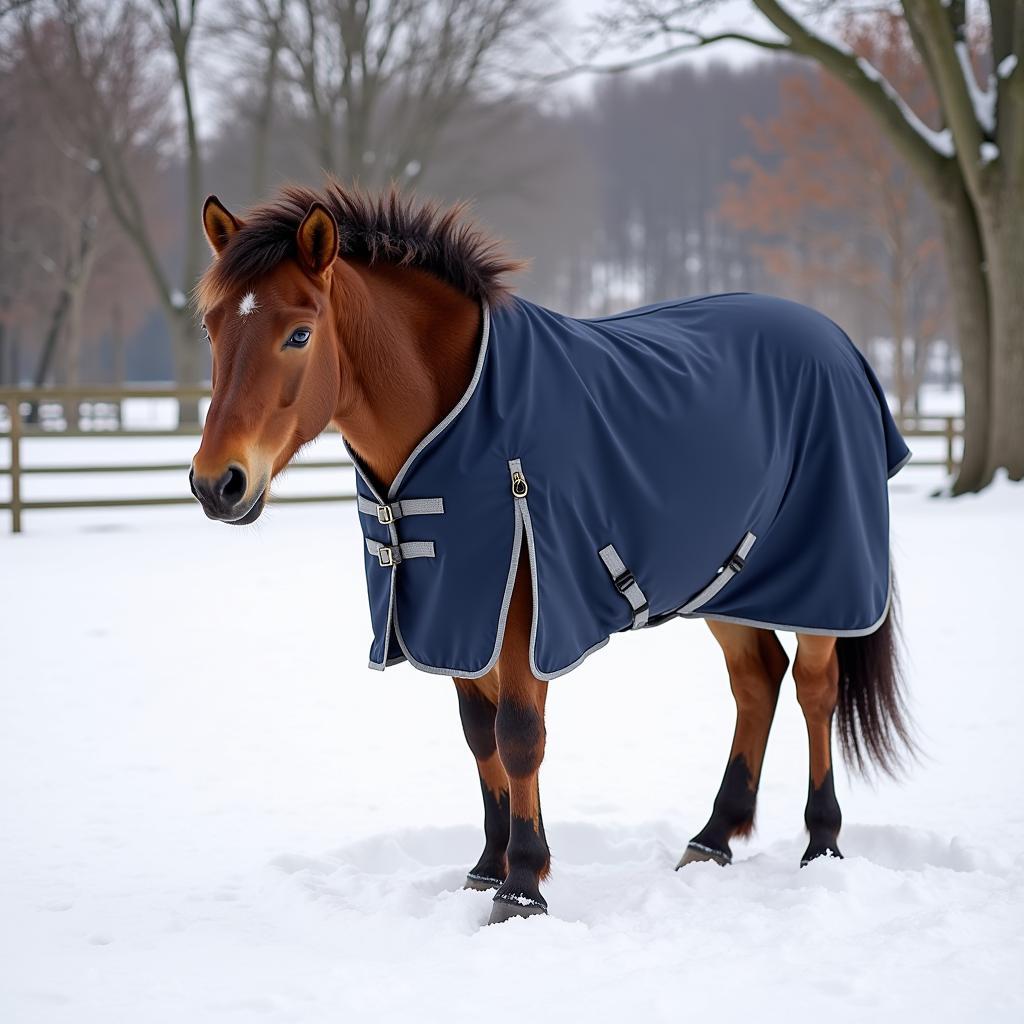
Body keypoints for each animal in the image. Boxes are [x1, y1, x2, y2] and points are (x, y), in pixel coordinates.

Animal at [190, 184, 913, 929]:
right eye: (211, 328)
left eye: (299, 334)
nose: (218, 483)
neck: (463, 415)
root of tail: (838, 343)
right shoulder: (459, 607)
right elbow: (478, 734)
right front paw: (487, 865)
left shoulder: (523, 611)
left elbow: (518, 736)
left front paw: (521, 887)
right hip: (726, 582)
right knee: (757, 681)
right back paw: (713, 838)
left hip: (825, 576)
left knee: (814, 688)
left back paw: (822, 844)